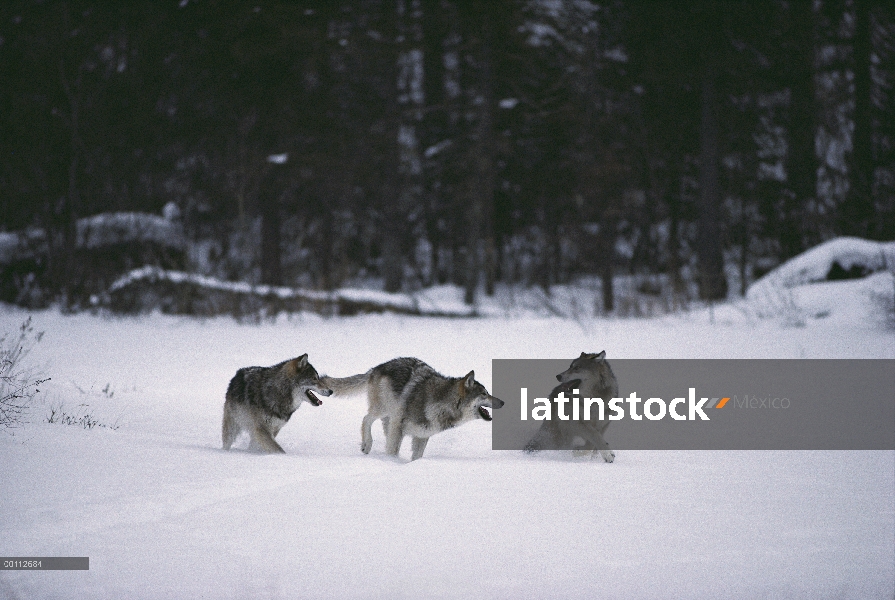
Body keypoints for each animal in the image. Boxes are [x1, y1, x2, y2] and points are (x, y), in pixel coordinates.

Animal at [322, 358, 504, 462]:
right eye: (484, 394)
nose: (503, 402)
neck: (441, 403)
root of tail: (377, 367)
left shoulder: (421, 436)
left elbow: (416, 457)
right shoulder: (398, 427)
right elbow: (392, 452)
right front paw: (391, 464)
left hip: (388, 418)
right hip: (384, 410)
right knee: (366, 418)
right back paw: (366, 445)